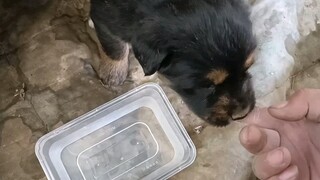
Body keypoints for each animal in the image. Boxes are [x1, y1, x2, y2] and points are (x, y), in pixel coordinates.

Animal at [90, 0, 258, 126]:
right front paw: (113, 74)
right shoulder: (105, 15)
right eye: (206, 85)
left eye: (247, 69)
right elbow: (114, 47)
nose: (242, 114)